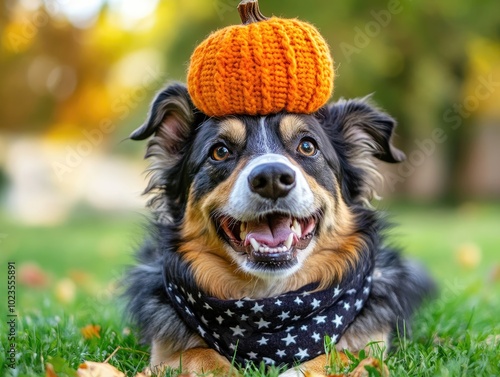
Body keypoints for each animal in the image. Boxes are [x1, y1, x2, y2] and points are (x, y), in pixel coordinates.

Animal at [124, 83, 434, 376]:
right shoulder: (164, 351)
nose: (271, 177)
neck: (271, 299)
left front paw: (300, 371)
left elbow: (340, 354)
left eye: (307, 146)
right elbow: (196, 353)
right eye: (220, 151)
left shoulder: (372, 346)